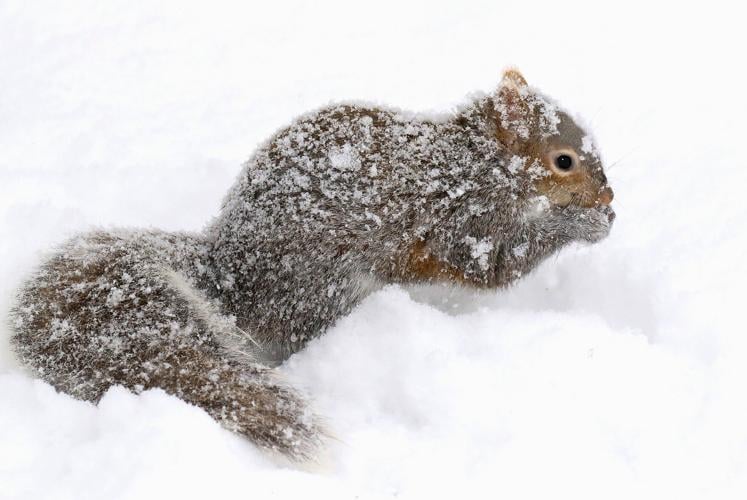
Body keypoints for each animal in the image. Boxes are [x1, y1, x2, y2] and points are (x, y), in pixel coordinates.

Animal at [9, 69, 614, 461]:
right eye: (564, 161)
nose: (608, 197)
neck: (480, 162)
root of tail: (227, 274)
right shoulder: (463, 219)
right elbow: (492, 264)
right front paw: (587, 224)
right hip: (330, 286)